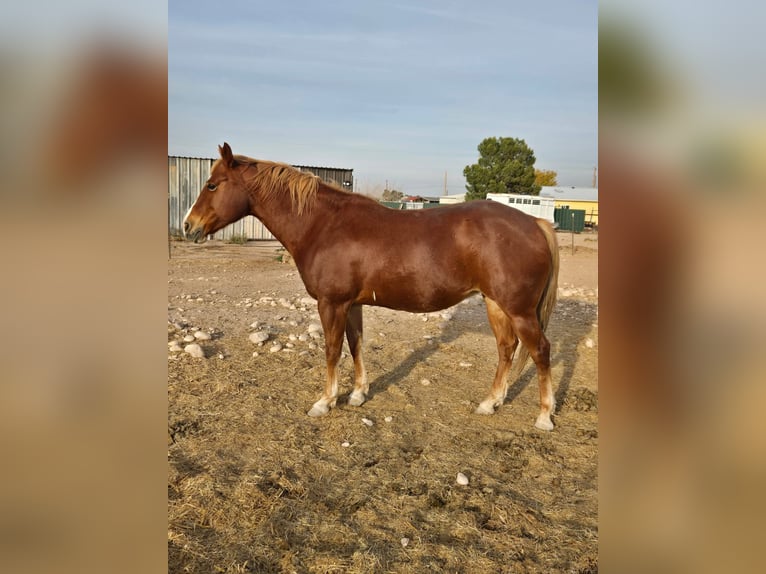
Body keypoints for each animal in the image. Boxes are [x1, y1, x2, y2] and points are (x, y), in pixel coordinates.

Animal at [184, 144, 560, 432]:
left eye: (213, 185)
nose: (189, 226)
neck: (323, 224)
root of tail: (536, 223)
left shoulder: (332, 303)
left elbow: (332, 350)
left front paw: (325, 401)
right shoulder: (352, 304)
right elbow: (356, 345)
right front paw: (357, 394)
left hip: (520, 310)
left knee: (540, 350)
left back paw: (544, 416)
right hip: (496, 304)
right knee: (506, 348)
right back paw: (490, 402)